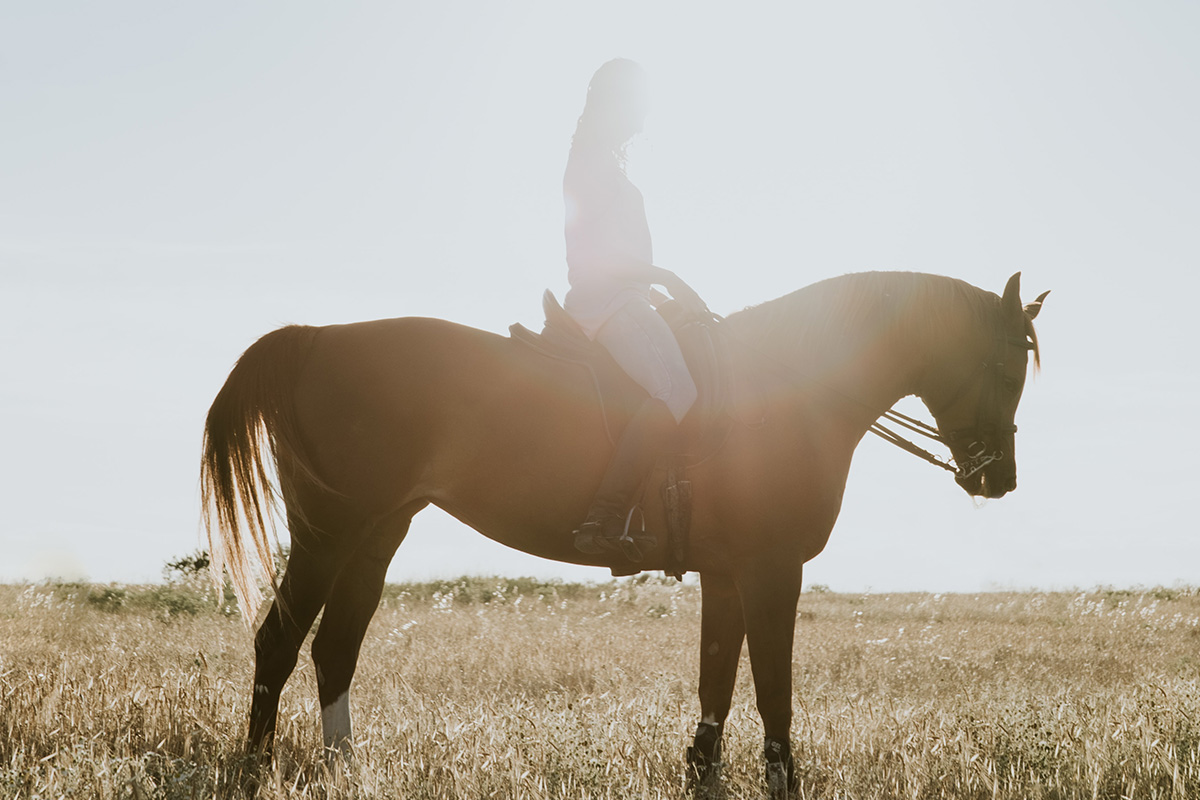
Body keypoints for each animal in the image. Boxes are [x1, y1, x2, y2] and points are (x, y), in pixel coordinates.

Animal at [201, 267, 1046, 796]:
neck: (786, 386)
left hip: (376, 535)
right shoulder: (771, 569)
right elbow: (772, 692)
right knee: (279, 641)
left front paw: (702, 777)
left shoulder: (727, 572)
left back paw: (346, 772)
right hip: (329, 533)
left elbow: (717, 682)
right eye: (1008, 370)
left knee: (334, 648)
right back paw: (256, 769)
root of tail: (316, 336)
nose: (997, 478)